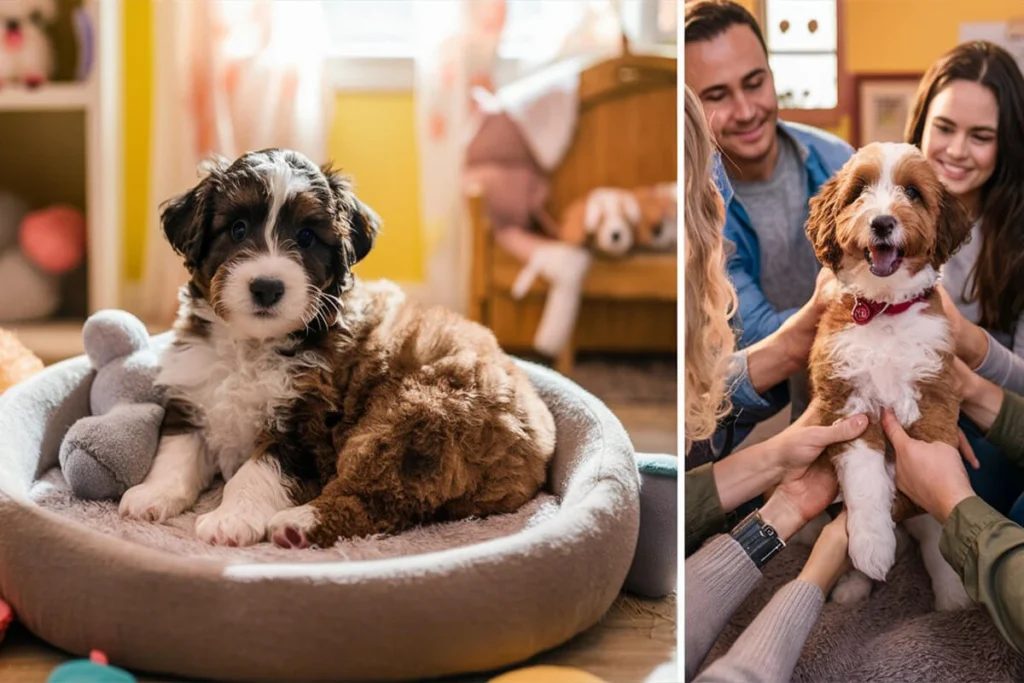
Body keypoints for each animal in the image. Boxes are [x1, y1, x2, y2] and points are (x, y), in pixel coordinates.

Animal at [119, 147, 561, 548]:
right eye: (238, 229)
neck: (252, 344)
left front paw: (232, 519)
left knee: (377, 500)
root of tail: (536, 439)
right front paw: (151, 496)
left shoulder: (305, 424)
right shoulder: (194, 395)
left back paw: (297, 525)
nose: (267, 287)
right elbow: (176, 452)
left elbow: (258, 471)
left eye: (306, 237)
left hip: (408, 421)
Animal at [806, 141, 966, 606]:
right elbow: (865, 476)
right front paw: (872, 546)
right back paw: (852, 584)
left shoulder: (934, 395)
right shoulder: (847, 402)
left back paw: (954, 599)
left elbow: (931, 487)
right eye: (859, 191)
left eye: (912, 192)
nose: (881, 222)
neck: (883, 310)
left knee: (932, 539)